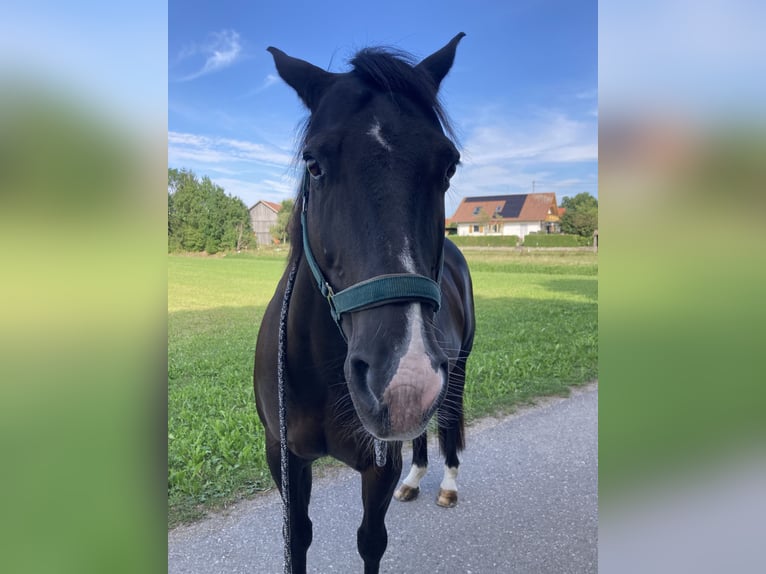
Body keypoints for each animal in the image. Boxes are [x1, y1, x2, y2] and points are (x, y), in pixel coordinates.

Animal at [254, 32, 475, 573]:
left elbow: (370, 541)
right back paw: (416, 481)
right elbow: (297, 537)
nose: (405, 381)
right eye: (314, 163)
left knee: (449, 423)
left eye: (448, 165)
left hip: (457, 371)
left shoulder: (378, 465)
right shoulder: (282, 456)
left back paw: (447, 484)